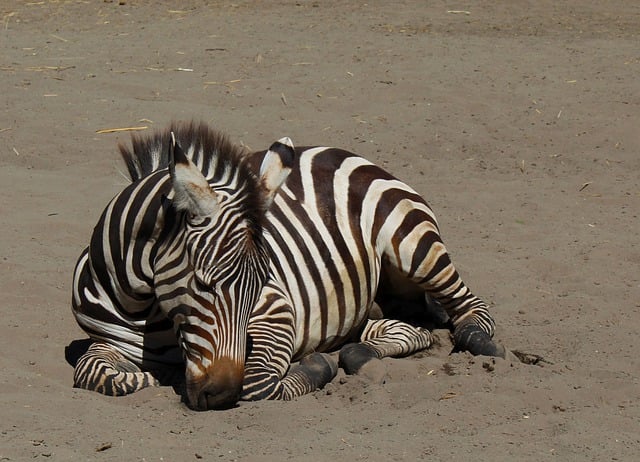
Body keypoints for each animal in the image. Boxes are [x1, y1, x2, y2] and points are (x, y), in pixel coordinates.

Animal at [71, 121, 504, 410]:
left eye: (259, 287)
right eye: (203, 284)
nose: (220, 394)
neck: (145, 307)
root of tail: (334, 150)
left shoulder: (276, 311)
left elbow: (259, 384)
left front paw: (315, 367)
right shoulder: (106, 341)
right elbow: (94, 375)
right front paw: (155, 373)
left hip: (414, 244)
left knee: (469, 305)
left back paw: (477, 339)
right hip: (368, 305)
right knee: (411, 328)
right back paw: (361, 354)